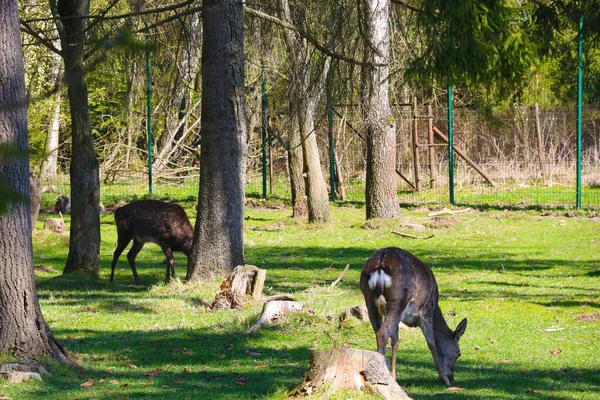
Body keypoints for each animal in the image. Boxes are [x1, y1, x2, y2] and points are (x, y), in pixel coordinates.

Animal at [360, 245, 468, 386]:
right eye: (459, 353)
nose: (451, 377)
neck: (435, 309)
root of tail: (379, 267)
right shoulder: (427, 310)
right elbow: (431, 343)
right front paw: (444, 379)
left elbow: (396, 341)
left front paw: (394, 376)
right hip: (398, 299)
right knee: (382, 333)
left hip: (369, 299)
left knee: (378, 331)